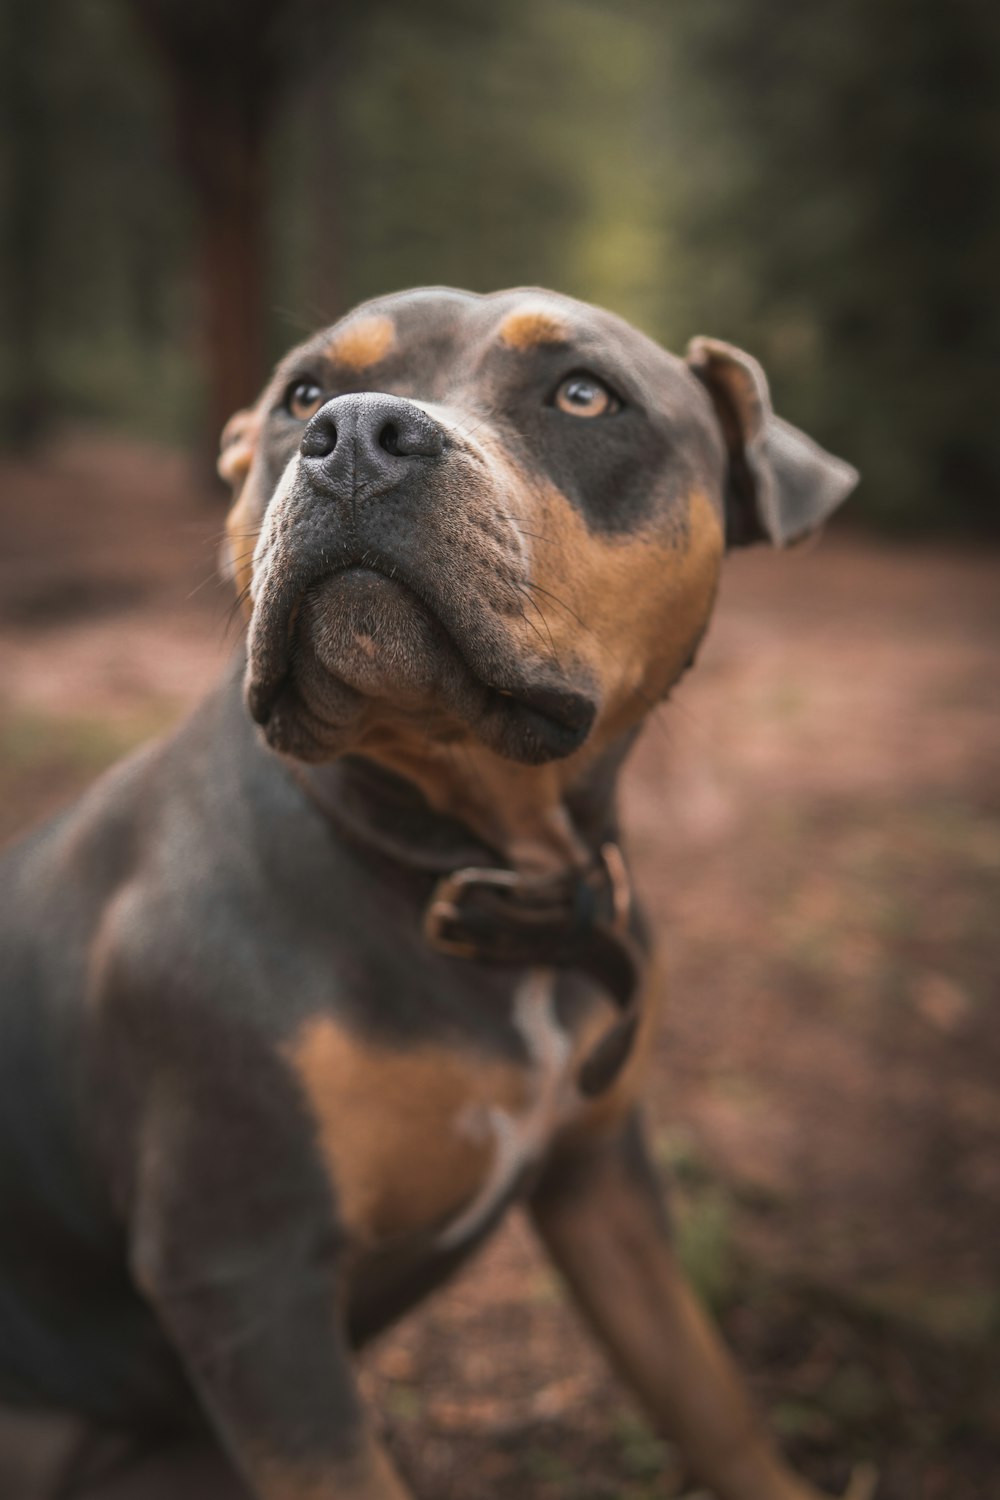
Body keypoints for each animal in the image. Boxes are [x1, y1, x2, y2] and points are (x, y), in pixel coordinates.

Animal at [0, 283, 863, 1500]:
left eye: (584, 394)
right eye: (302, 393)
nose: (358, 433)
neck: (473, 861)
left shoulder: (604, 1184)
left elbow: (715, 1404)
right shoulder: (246, 1282)